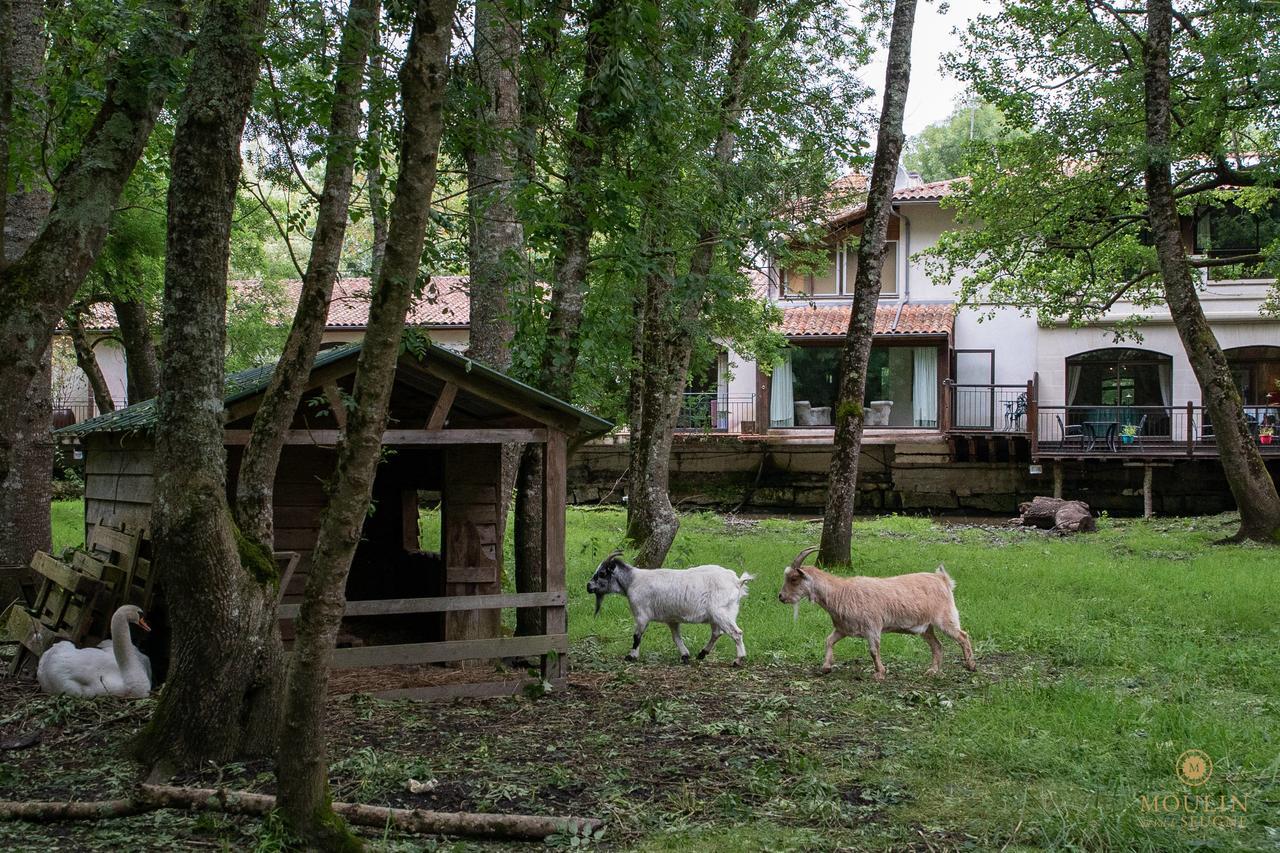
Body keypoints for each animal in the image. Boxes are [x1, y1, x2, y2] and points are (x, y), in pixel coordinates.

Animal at [586, 550, 752, 666]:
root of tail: (737, 581)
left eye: (602, 573)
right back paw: (702, 654)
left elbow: (637, 636)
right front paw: (685, 655)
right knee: (717, 633)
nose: (588, 586)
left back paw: (738, 660)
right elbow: (676, 637)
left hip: (721, 612)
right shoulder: (672, 619)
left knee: (736, 633)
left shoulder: (641, 614)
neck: (632, 581)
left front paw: (631, 656)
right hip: (718, 614)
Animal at [773, 545, 972, 676]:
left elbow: (873, 650)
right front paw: (826, 667)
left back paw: (971, 666)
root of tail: (943, 579)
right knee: (937, 645)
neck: (840, 593)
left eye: (793, 579)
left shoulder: (872, 626)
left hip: (945, 618)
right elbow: (828, 640)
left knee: (963, 636)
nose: (781, 597)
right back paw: (932, 670)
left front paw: (880, 673)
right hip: (926, 627)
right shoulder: (843, 629)